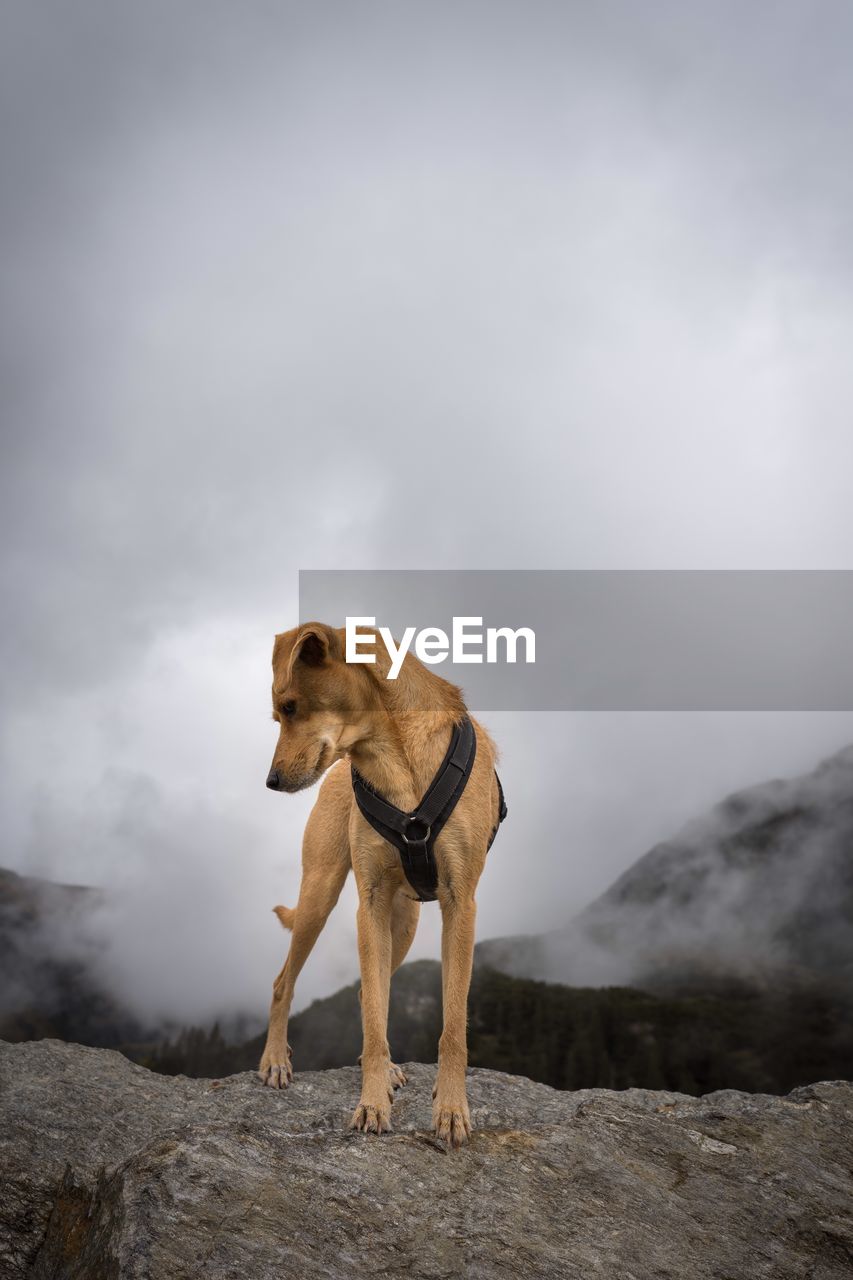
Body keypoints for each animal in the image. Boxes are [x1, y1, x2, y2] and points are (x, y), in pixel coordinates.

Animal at [256, 622, 502, 1152]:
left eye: (291, 706)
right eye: (278, 713)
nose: (271, 781)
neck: (395, 758)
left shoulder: (460, 904)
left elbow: (453, 1026)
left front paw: (451, 1109)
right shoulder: (367, 903)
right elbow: (374, 1019)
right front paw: (371, 1103)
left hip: (403, 925)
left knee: (371, 990)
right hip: (320, 896)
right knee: (287, 982)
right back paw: (276, 1060)